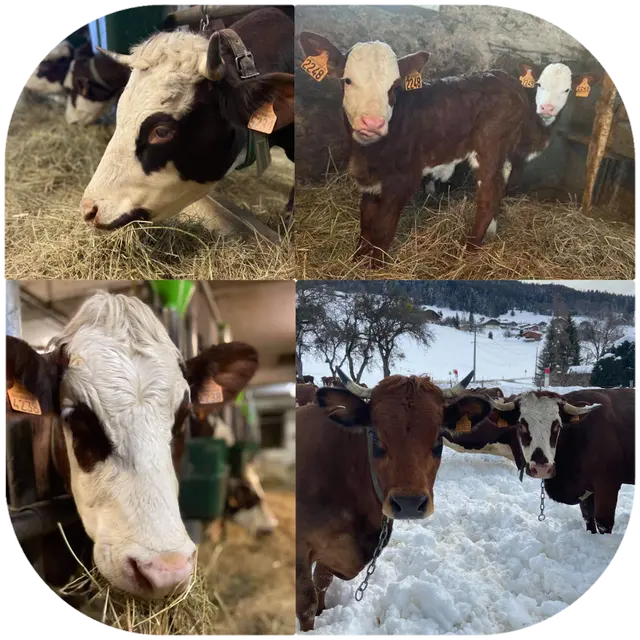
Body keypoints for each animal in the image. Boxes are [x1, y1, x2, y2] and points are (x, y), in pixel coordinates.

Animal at [298, 32, 535, 268]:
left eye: (394, 87)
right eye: (347, 80)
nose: (373, 123)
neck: (368, 154)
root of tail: (507, 79)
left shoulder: (403, 179)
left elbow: (382, 226)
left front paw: (376, 266)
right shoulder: (369, 181)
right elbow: (366, 221)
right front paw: (357, 259)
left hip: (489, 147)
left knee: (488, 196)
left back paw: (470, 247)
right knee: (499, 186)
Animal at [484, 389, 636, 534]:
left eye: (557, 426)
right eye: (521, 426)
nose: (541, 469)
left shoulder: (607, 485)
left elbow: (603, 524)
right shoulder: (587, 489)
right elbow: (588, 517)